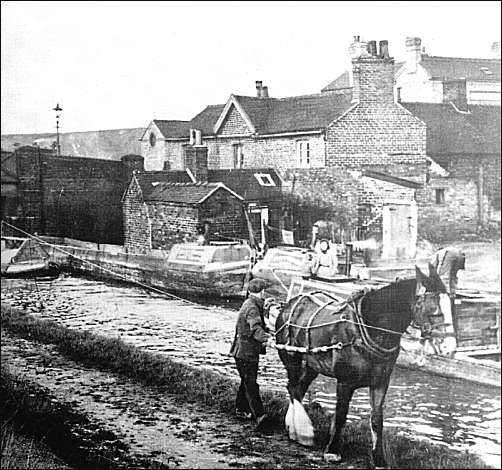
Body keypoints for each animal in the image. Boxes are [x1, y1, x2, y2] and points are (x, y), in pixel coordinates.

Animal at [274, 264, 448, 466]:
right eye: (434, 310)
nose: (448, 345)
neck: (368, 329)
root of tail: (290, 303)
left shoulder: (380, 383)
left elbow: (377, 420)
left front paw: (379, 459)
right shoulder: (345, 382)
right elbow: (341, 415)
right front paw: (332, 451)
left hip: (312, 365)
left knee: (298, 388)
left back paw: (293, 429)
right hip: (290, 357)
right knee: (293, 387)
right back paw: (302, 431)